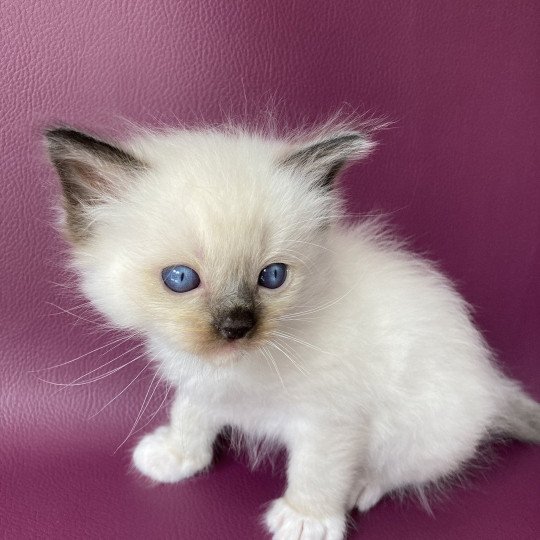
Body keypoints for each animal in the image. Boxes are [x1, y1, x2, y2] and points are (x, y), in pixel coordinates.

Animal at [45, 122, 540, 540]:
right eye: (180, 279)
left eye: (273, 276)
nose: (237, 325)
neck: (241, 370)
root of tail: (492, 384)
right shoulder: (203, 387)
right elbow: (190, 417)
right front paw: (176, 458)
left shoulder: (330, 419)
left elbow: (317, 470)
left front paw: (307, 519)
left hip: (422, 428)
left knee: (398, 471)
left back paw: (360, 487)